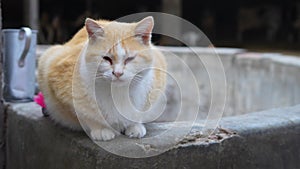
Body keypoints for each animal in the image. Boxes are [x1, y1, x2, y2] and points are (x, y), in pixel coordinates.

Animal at [37, 16, 166, 141]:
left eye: (129, 59)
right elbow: (87, 115)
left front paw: (135, 126)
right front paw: (101, 129)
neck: (117, 93)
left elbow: (139, 114)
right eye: (106, 58)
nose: (118, 73)